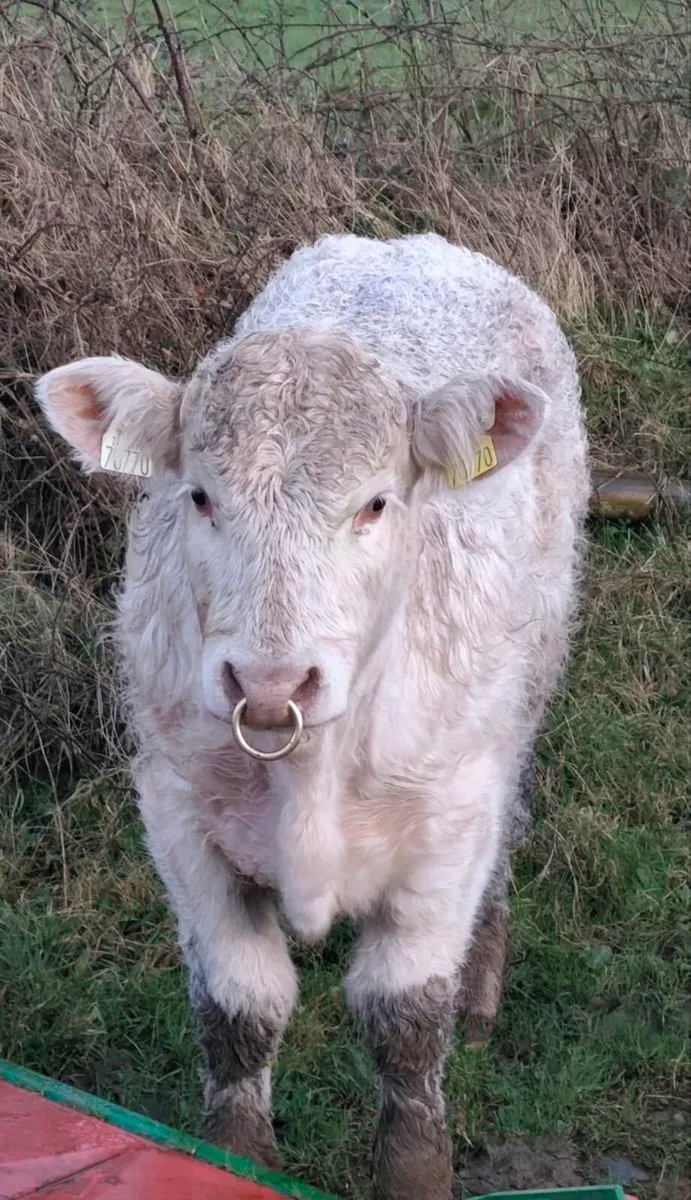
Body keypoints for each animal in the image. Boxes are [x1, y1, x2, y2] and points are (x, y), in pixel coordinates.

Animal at [36, 233, 589, 1200]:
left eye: (375, 502)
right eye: (199, 497)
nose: (271, 682)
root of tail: (412, 243)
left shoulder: (445, 827)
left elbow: (405, 1021)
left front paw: (414, 1167)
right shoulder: (179, 817)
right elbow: (239, 1009)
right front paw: (230, 1160)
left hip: (525, 695)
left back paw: (482, 992)